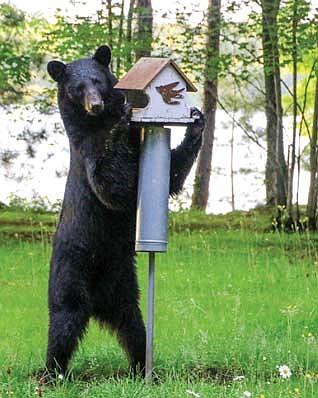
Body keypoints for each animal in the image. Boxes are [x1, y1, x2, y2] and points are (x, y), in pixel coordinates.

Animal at [45, 45, 204, 378]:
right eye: (78, 88)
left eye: (97, 81)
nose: (95, 105)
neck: (97, 124)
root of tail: (97, 305)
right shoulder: (88, 151)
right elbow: (111, 186)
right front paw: (124, 116)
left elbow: (171, 176)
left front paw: (197, 122)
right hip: (70, 270)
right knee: (64, 320)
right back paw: (53, 372)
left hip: (123, 285)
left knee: (134, 327)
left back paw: (142, 367)